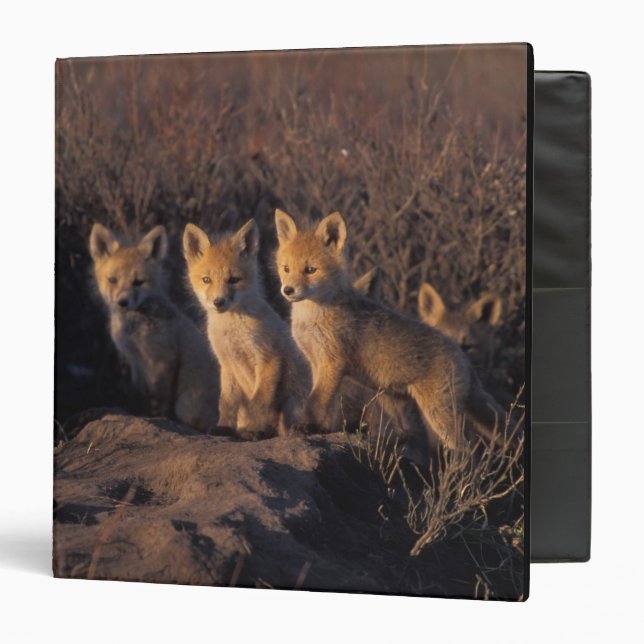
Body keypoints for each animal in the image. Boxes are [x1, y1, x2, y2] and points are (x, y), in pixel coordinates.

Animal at [89, 223, 220, 431]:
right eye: (112, 280)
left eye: (138, 282)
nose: (122, 302)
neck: (135, 334)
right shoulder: (135, 363)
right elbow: (142, 396)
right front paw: (142, 415)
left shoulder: (164, 360)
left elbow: (159, 400)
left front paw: (159, 418)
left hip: (187, 403)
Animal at [183, 220, 311, 439]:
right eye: (206, 280)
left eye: (233, 280)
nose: (218, 302)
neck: (232, 332)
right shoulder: (227, 364)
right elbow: (226, 403)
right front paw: (224, 427)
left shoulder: (268, 358)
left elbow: (258, 402)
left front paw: (253, 430)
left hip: (291, 401)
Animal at [274, 209, 503, 450]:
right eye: (286, 268)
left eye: (310, 270)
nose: (287, 290)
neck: (311, 318)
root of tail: (463, 358)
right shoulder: (316, 362)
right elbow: (326, 404)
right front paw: (322, 429)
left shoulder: (332, 362)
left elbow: (315, 402)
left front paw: (306, 427)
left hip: (438, 414)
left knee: (466, 451)